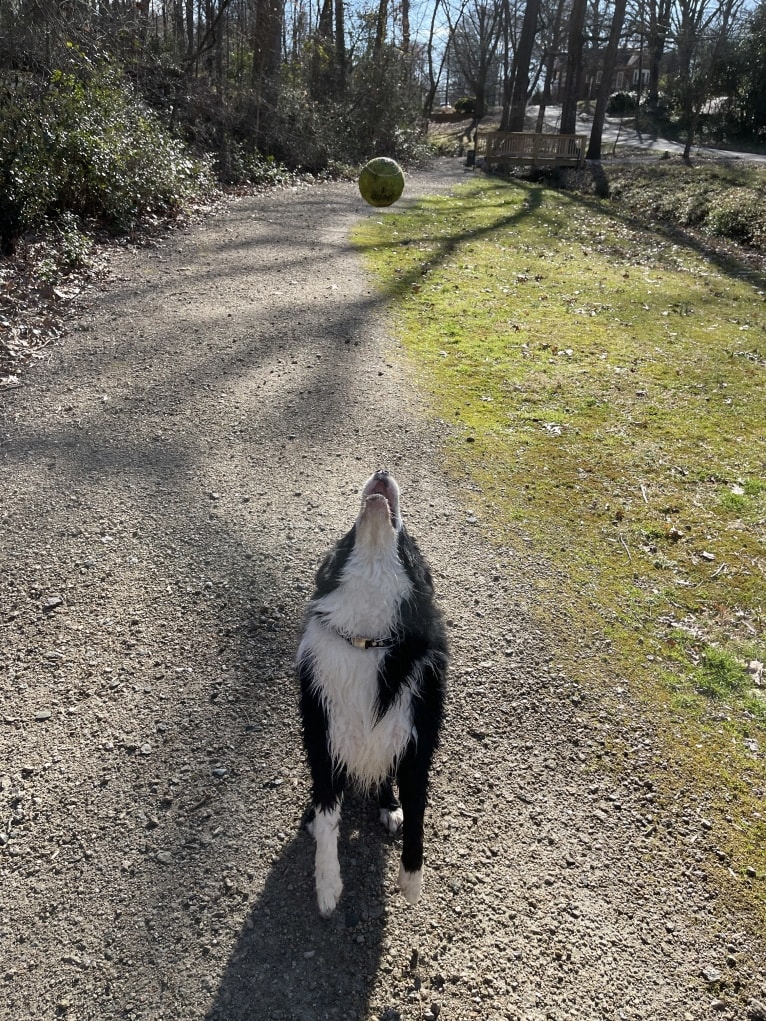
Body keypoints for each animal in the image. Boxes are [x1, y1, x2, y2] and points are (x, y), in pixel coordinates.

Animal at [296, 469, 449, 918]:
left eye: (408, 538)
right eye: (349, 532)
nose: (382, 472)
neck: (367, 637)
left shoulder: (417, 740)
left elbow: (417, 812)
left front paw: (412, 881)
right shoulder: (323, 736)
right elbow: (328, 816)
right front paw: (327, 886)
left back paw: (388, 806)